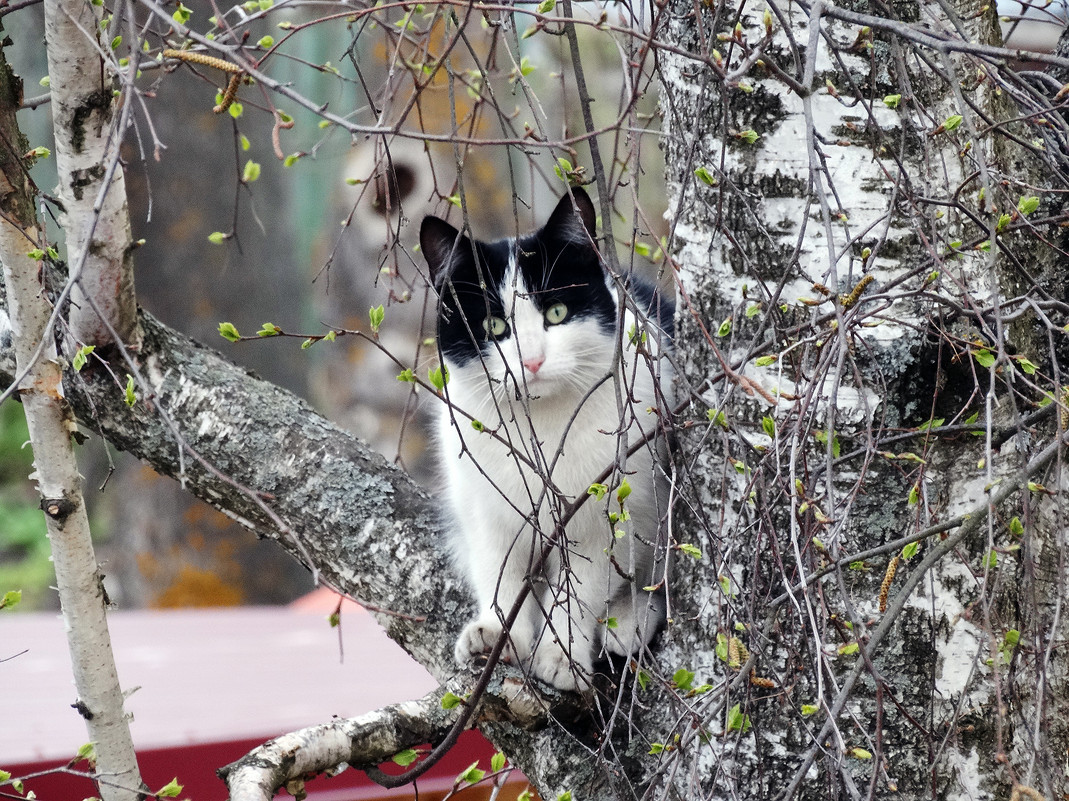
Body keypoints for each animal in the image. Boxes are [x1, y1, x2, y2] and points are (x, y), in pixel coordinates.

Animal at [421, 189, 671, 692]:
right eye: (494, 326)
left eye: (557, 313)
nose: (532, 361)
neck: (545, 425)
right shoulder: (486, 509)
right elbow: (499, 572)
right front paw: (498, 634)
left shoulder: (604, 520)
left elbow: (579, 592)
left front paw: (561, 657)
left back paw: (628, 622)